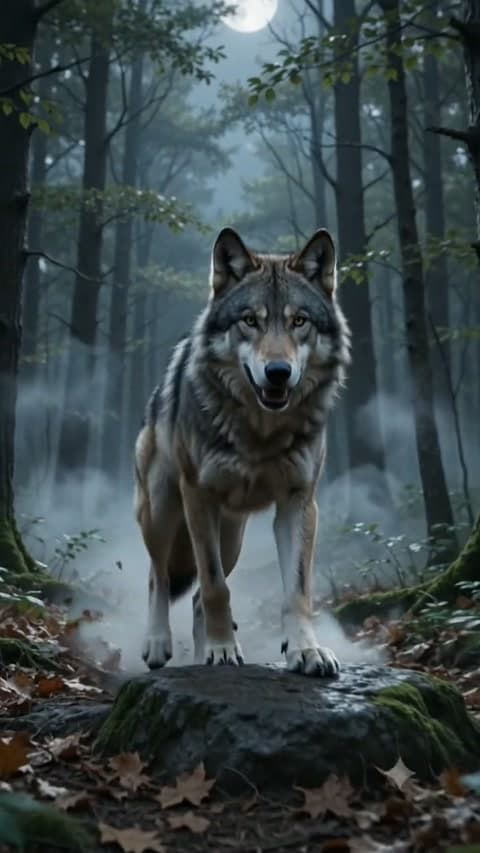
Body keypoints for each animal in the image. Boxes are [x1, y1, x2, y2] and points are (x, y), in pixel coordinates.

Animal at [134, 226, 351, 677]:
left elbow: (296, 590)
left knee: (196, 598)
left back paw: (203, 655)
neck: (260, 432)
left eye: (299, 321)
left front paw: (305, 650)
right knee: (158, 576)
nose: (278, 372)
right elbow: (215, 586)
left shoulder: (299, 504)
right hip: (161, 510)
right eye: (250, 320)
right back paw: (160, 644)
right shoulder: (198, 497)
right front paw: (221, 649)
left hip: (231, 538)